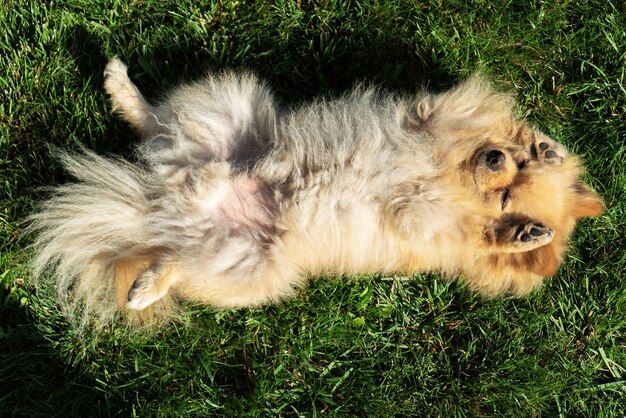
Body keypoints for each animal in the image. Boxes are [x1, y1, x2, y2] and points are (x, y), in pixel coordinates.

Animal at [26, 57, 604, 328]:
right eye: (509, 167)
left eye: (505, 201)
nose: (497, 158)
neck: (454, 177)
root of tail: (166, 203)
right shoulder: (434, 123)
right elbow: (452, 123)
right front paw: (547, 151)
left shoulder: (428, 224)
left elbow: (462, 228)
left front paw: (524, 234)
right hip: (224, 110)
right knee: (154, 122)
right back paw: (121, 86)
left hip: (249, 265)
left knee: (175, 261)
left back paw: (145, 286)